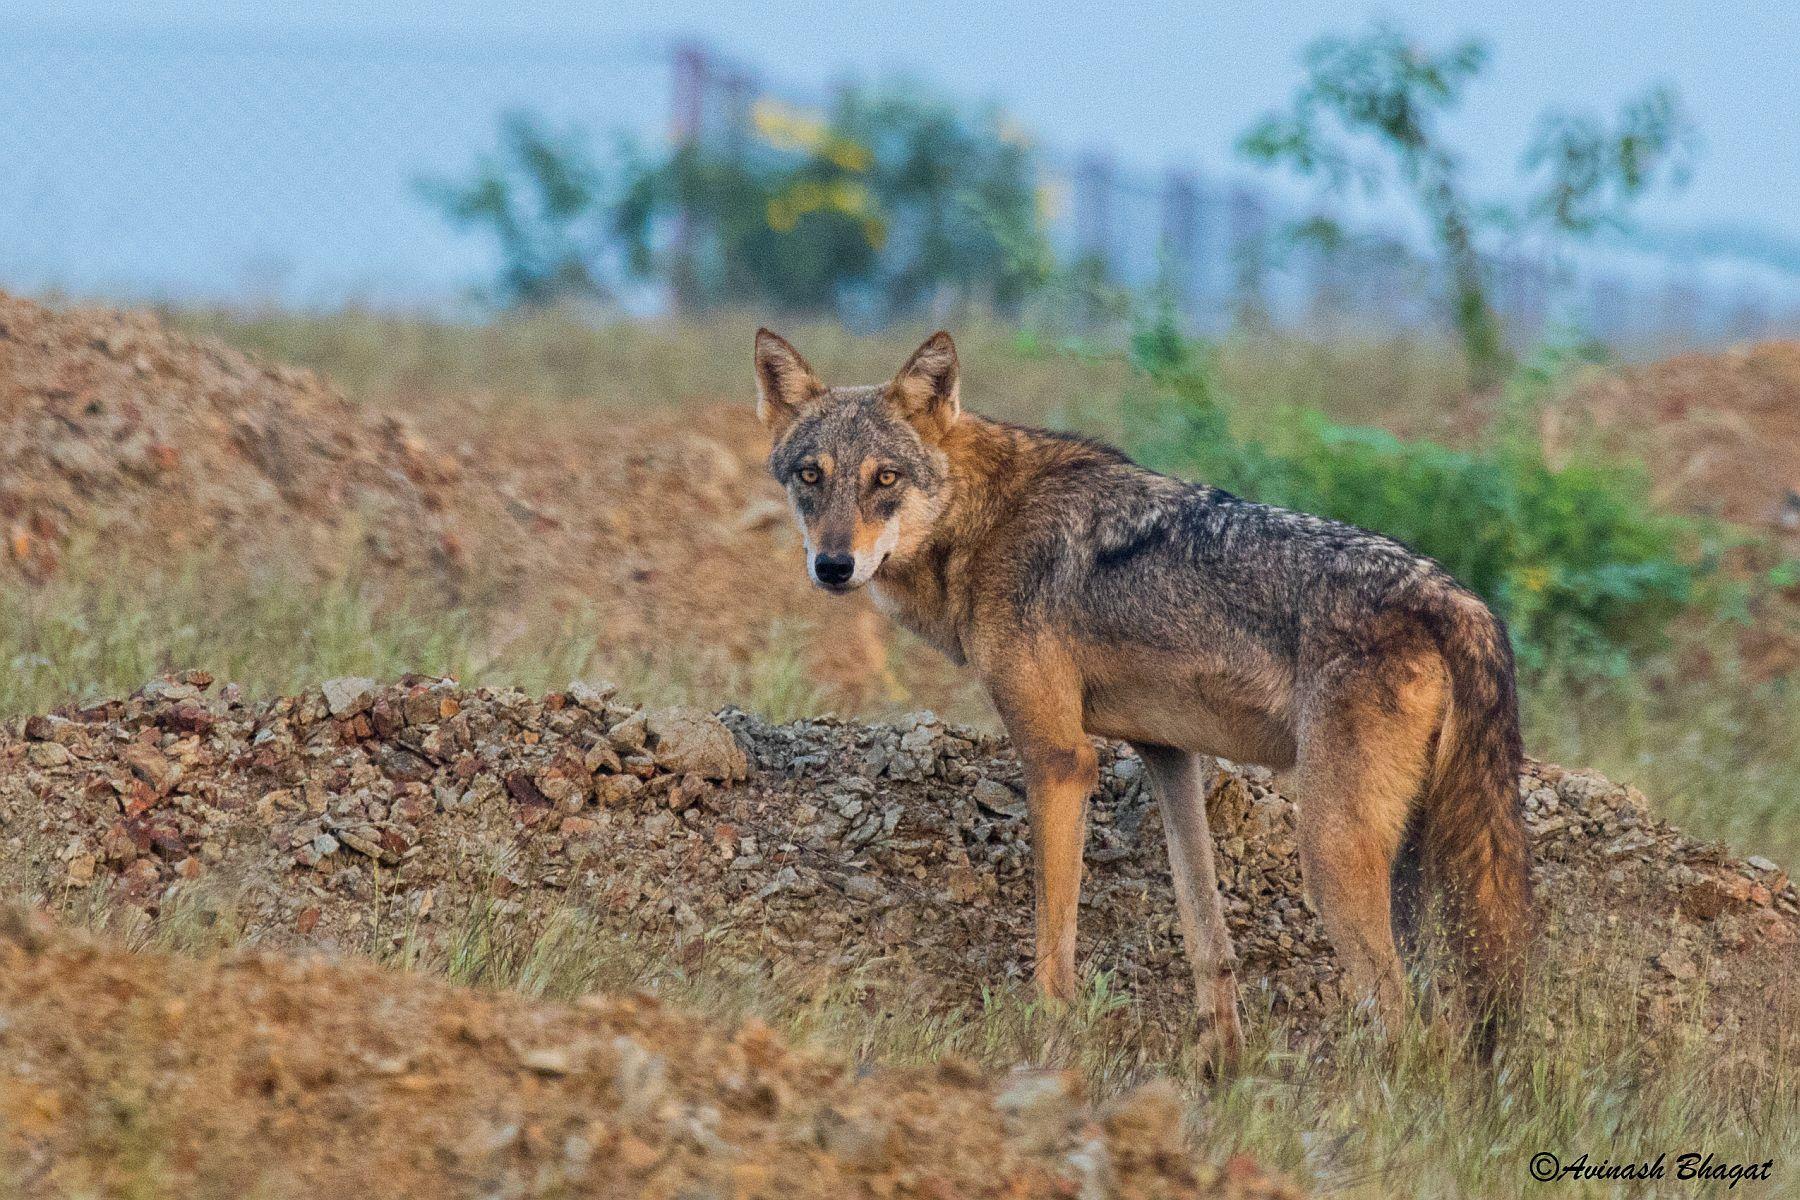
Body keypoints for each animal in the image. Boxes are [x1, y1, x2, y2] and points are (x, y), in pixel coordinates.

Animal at [752, 327, 1532, 1060]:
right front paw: (1220, 1069)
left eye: (885, 478)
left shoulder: (1061, 759)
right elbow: (1208, 938)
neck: (989, 521)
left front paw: (1051, 1042)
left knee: (1409, 1022)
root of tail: (1460, 601)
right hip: (1415, 866)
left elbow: (1054, 937)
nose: (832, 565)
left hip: (1332, 854)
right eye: (811, 476)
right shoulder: (1168, 754)